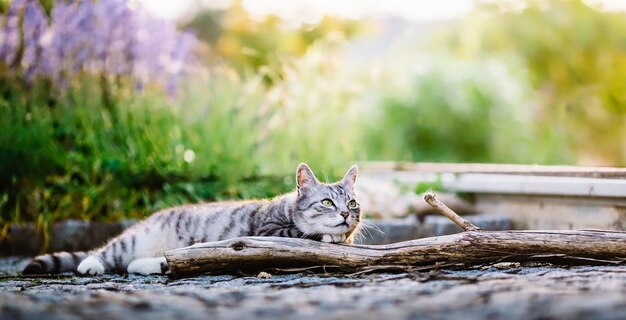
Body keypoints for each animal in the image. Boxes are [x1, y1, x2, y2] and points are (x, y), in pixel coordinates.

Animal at [22, 164, 360, 276]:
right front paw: (331, 235)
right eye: (327, 202)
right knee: (105, 251)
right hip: (131, 240)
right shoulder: (268, 229)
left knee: (140, 264)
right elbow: (301, 233)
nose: (345, 213)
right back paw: (90, 265)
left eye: (353, 203)